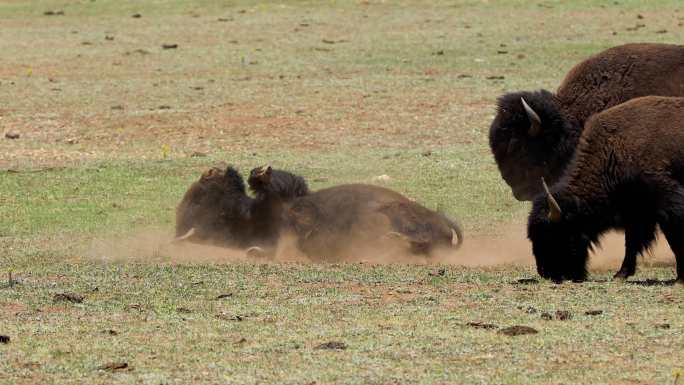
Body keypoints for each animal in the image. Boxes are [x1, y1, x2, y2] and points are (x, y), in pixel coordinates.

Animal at [528, 96, 684, 282]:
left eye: (552, 235)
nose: (545, 272)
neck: (613, 149)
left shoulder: (666, 204)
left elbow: (674, 238)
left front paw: (680, 279)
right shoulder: (637, 210)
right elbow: (632, 242)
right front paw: (620, 274)